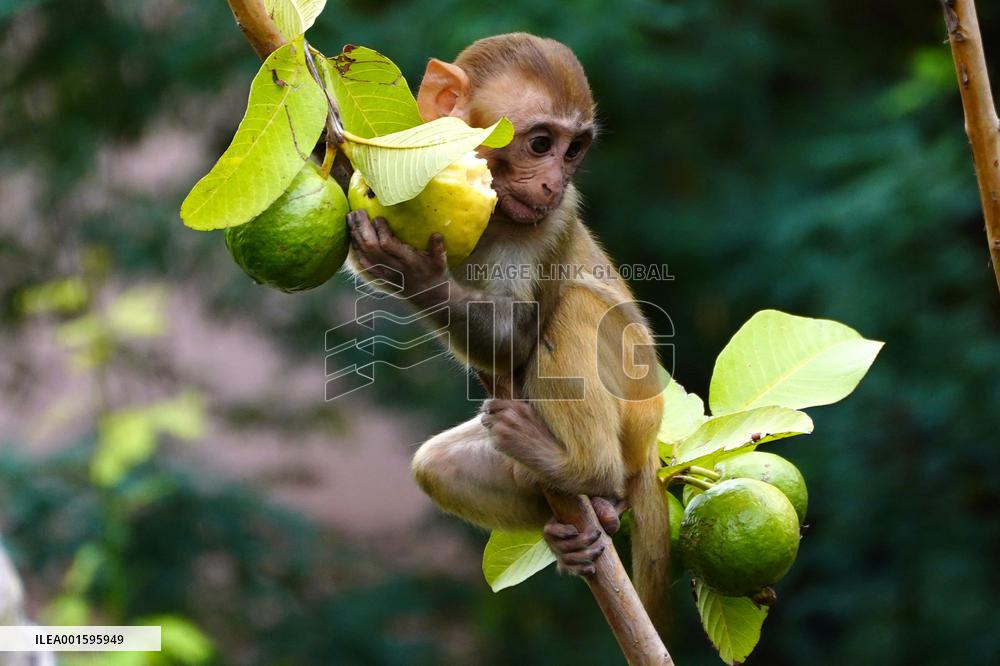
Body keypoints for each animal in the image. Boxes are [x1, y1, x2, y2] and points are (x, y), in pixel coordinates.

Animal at [345, 33, 669, 635]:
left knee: (573, 311)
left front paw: (415, 274)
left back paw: (583, 468)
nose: (553, 181)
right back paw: (593, 514)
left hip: (635, 411)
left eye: (573, 151)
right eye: (541, 143)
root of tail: (652, 450)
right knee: (439, 466)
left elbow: (516, 334)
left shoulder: (555, 219)